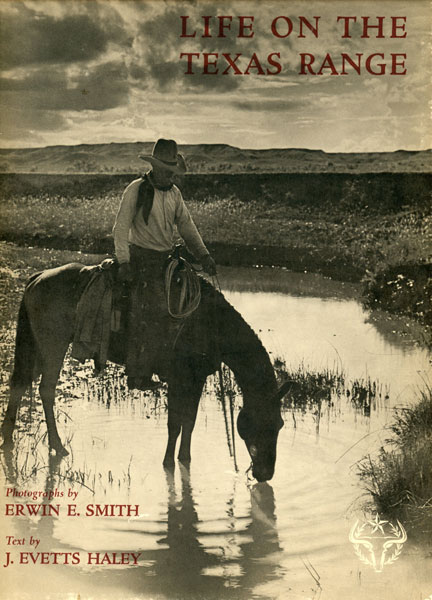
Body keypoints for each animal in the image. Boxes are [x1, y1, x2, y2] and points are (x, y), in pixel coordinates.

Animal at [0, 262, 290, 482]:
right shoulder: (179, 379)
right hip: (53, 345)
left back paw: (8, 438)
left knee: (20, 384)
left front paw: (185, 460)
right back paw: (57, 446)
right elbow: (174, 424)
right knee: (46, 390)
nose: (266, 473)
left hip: (37, 347)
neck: (209, 324)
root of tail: (37, 278)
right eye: (262, 423)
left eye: (279, 424)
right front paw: (168, 463)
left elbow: (189, 422)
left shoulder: (195, 379)